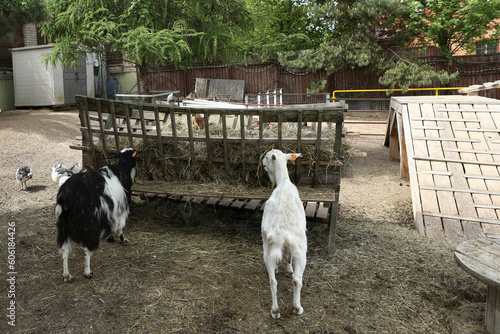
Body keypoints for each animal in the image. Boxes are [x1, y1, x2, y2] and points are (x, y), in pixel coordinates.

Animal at [55, 147, 138, 280]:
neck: (122, 169)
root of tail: (66, 197)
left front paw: (111, 237)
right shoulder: (121, 208)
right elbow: (120, 226)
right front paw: (121, 238)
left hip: (63, 226)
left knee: (64, 250)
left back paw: (67, 274)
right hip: (91, 226)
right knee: (87, 250)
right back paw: (88, 272)